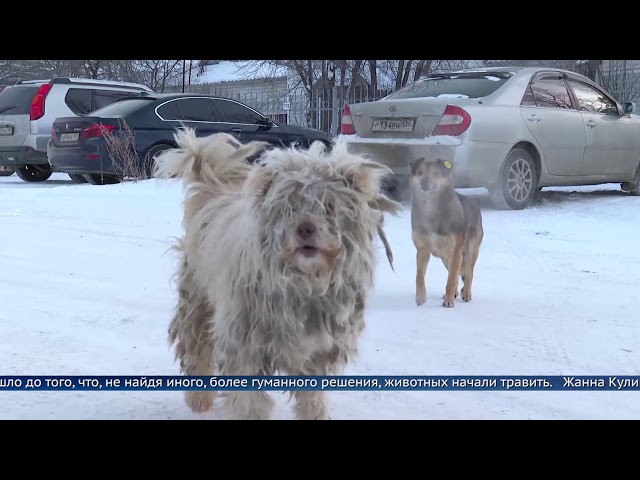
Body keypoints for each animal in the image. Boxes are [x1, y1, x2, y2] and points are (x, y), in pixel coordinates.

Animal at [154, 129, 400, 418]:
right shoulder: (246, 346)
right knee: (197, 349)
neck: (305, 284)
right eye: (289, 205)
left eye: (329, 204)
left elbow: (313, 398)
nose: (305, 228)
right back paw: (199, 399)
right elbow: (249, 401)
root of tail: (214, 191)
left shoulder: (317, 349)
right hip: (197, 301)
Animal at [412, 158, 482, 308]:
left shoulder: (456, 252)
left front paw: (449, 301)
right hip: (446, 258)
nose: (424, 183)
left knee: (469, 274)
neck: (432, 212)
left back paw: (466, 294)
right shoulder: (422, 250)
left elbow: (452, 279)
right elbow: (419, 276)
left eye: (436, 173)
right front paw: (420, 298)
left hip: (469, 251)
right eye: (420, 172)